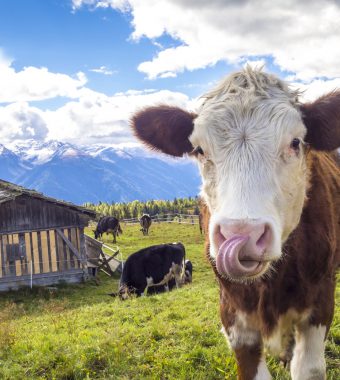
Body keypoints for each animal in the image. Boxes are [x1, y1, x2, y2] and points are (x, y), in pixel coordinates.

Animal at [132, 68, 340, 380]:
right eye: (199, 149)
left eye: (295, 142)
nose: (243, 235)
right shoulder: (233, 315)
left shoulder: (321, 300)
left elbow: (308, 367)